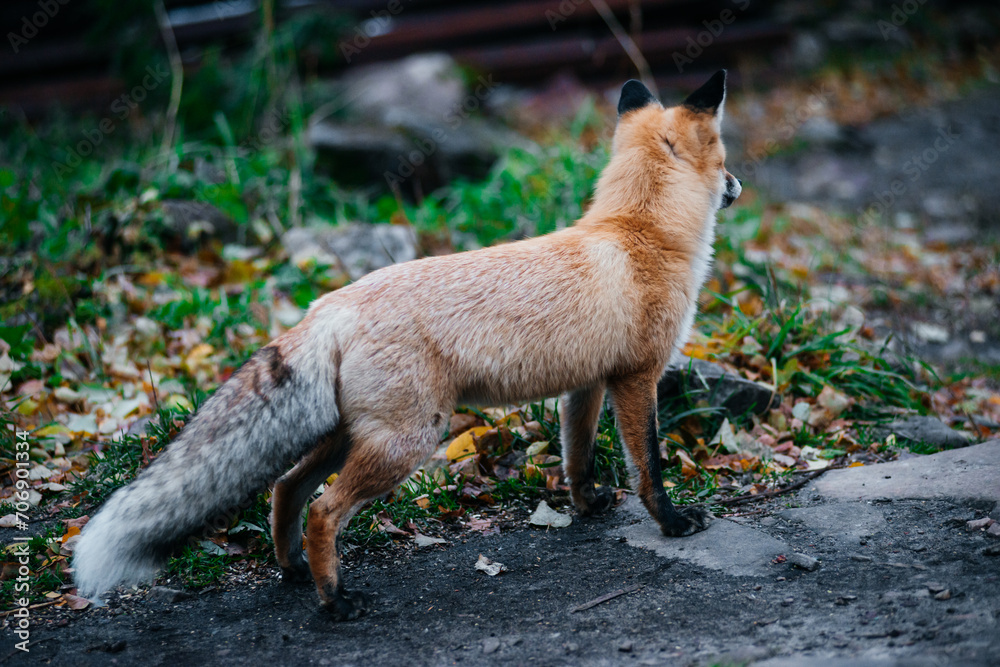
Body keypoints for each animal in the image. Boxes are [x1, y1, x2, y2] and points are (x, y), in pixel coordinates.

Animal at [72, 70, 744, 620]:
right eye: (725, 156)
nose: (737, 185)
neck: (636, 231)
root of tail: (330, 306)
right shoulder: (638, 377)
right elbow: (650, 465)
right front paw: (673, 523)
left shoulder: (585, 384)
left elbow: (576, 457)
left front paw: (587, 506)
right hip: (409, 439)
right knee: (324, 509)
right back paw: (336, 601)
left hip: (350, 434)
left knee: (286, 487)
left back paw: (294, 572)